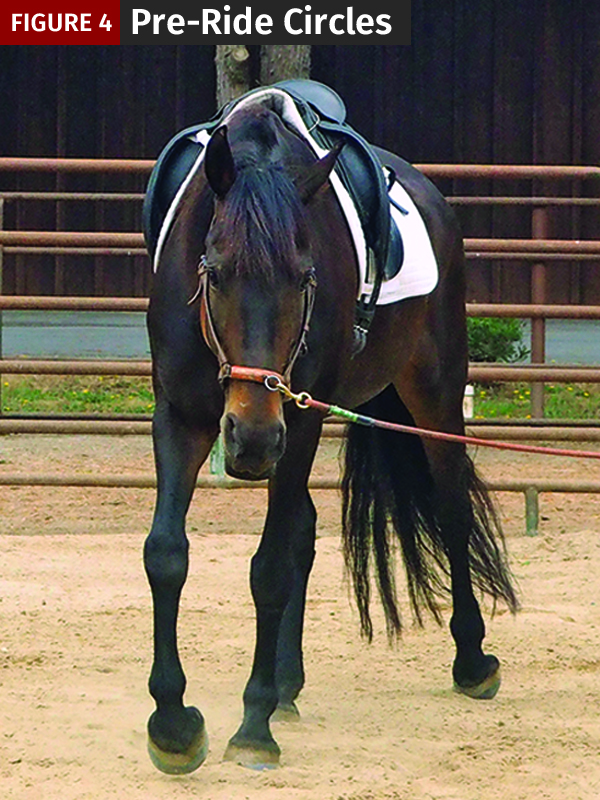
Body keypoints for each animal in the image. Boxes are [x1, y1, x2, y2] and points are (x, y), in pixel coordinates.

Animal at [143, 85, 518, 773]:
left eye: (305, 277)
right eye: (215, 270)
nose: (251, 438)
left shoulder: (298, 417)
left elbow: (268, 568)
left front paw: (253, 725)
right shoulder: (179, 417)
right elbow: (166, 554)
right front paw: (173, 724)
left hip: (432, 393)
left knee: (451, 508)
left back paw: (472, 660)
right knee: (304, 530)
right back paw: (288, 684)